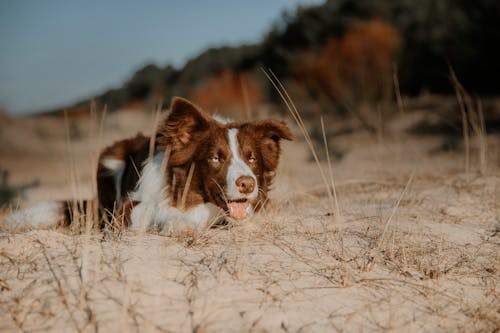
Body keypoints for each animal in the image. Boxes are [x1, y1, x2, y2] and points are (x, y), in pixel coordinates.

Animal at [4, 94, 292, 232]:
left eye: (251, 158)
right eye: (215, 158)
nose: (247, 184)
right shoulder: (127, 208)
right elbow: (165, 210)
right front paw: (181, 222)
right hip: (110, 159)